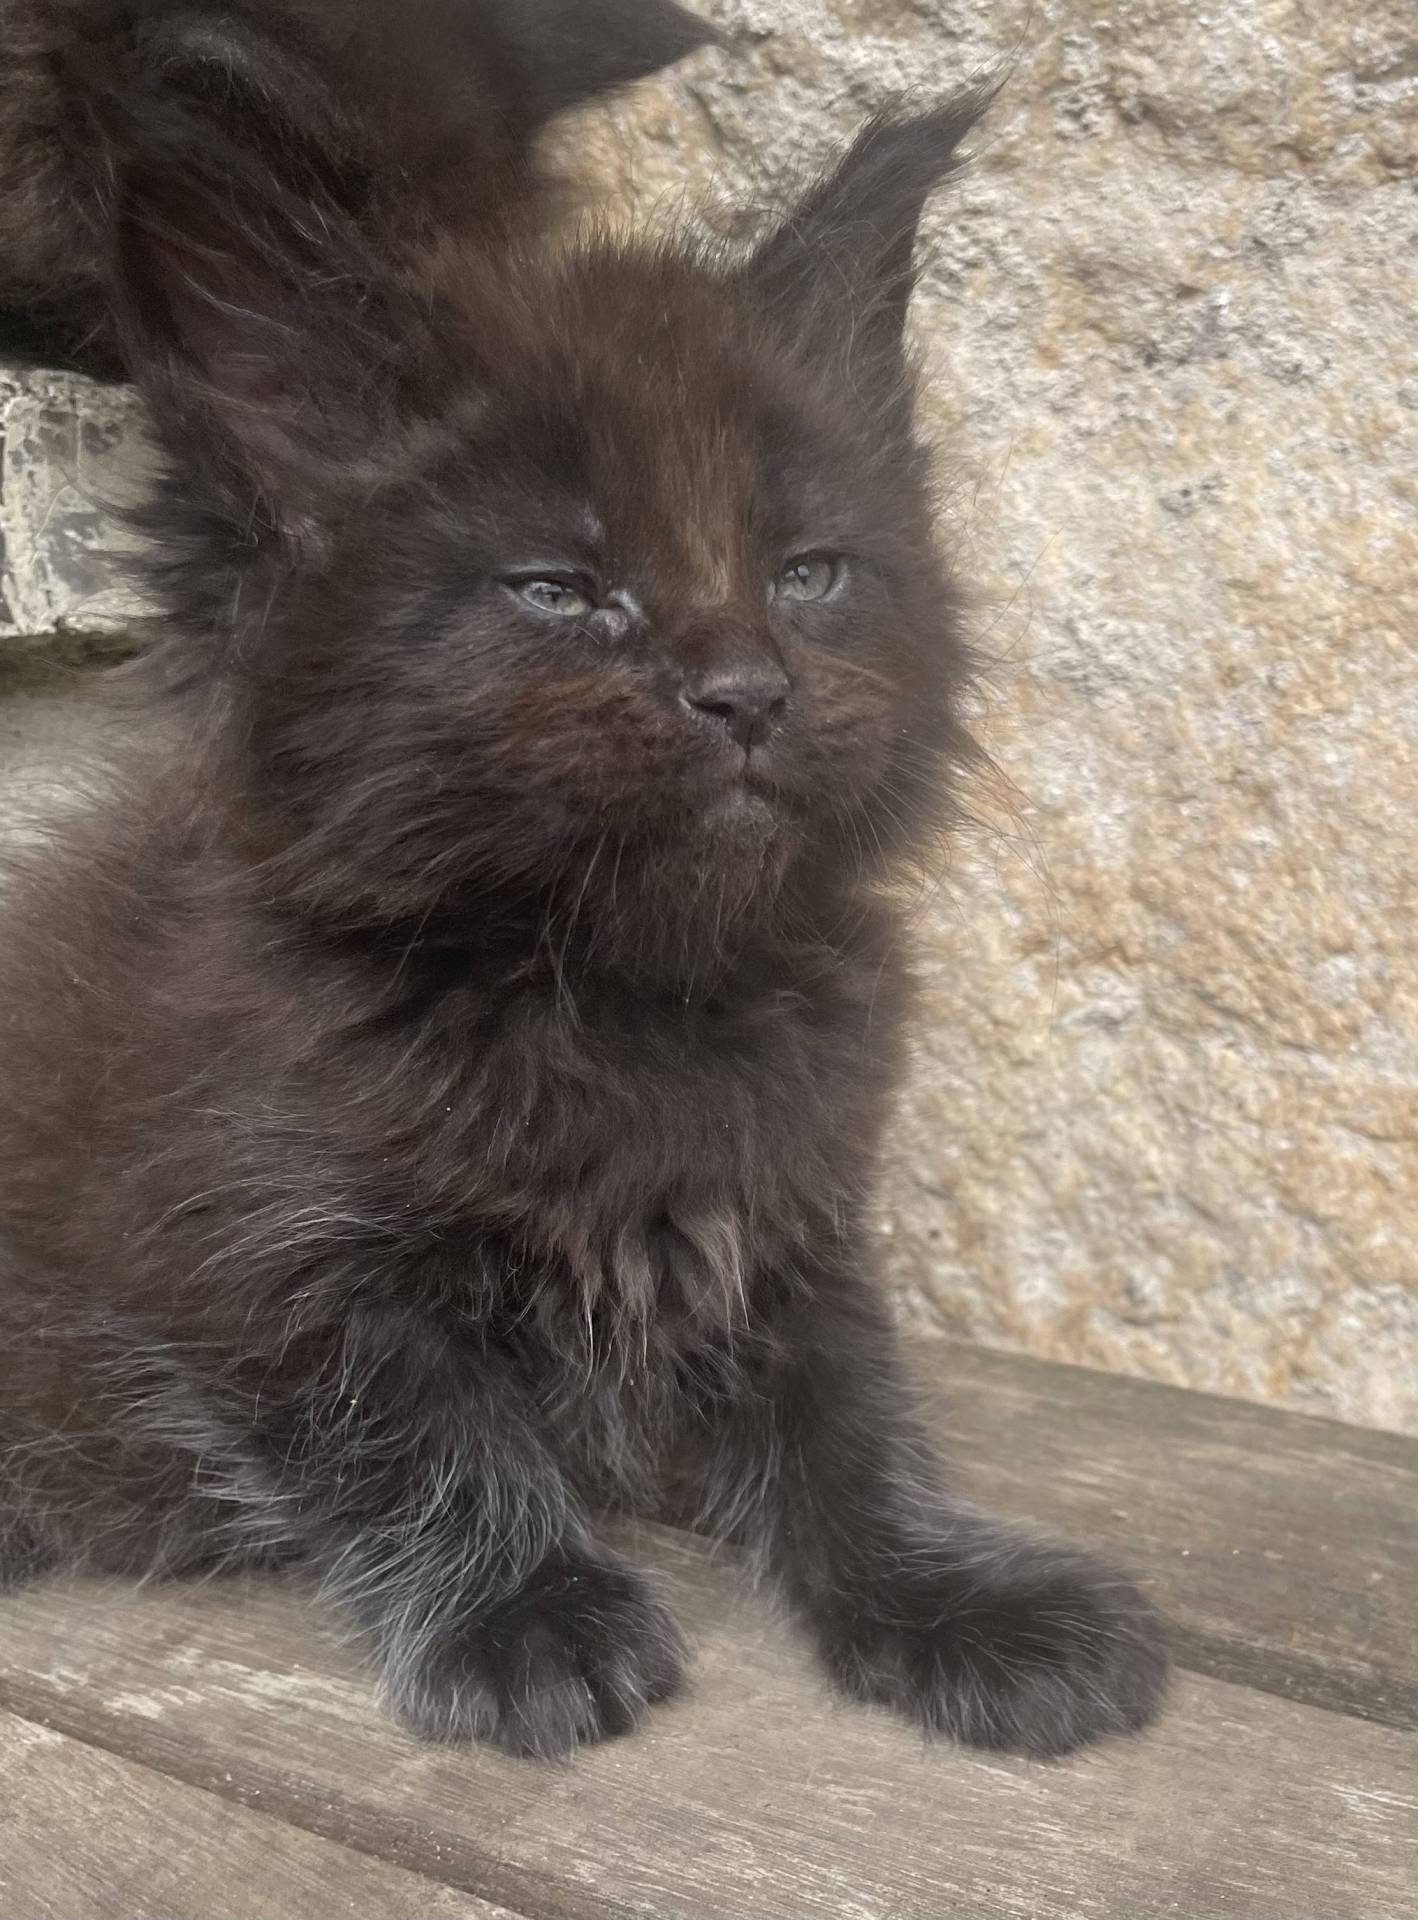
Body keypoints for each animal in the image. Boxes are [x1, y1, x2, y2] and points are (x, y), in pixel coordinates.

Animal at [0, 41, 1166, 1758]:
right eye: (557, 591)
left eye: (806, 573)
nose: (743, 690)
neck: (626, 995)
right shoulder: (242, 1239)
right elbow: (406, 1418)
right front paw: (523, 1612)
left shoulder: (792, 1211)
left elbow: (855, 1417)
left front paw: (948, 1592)